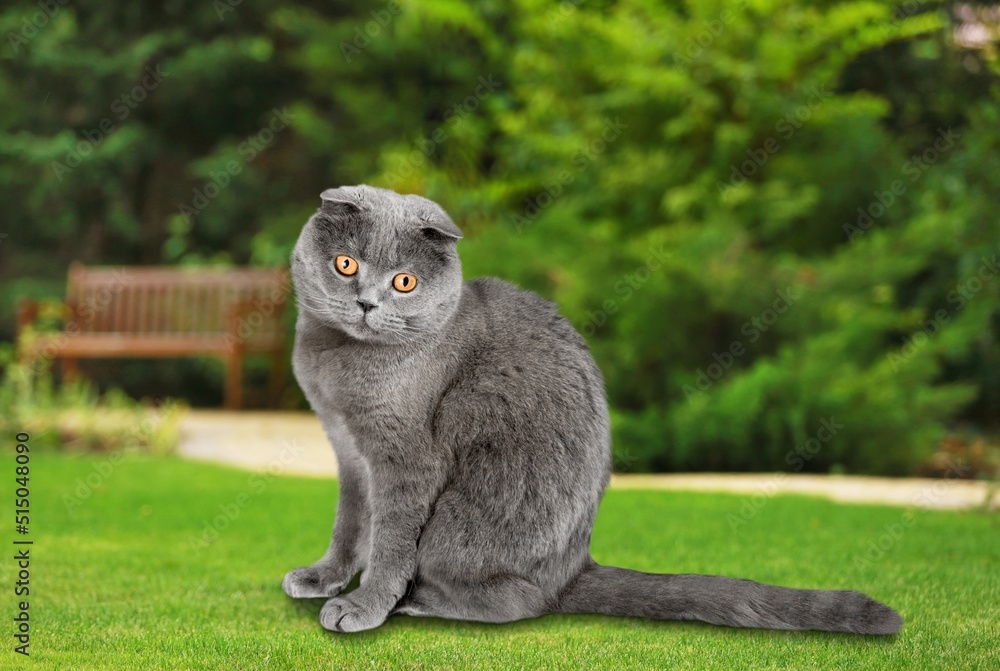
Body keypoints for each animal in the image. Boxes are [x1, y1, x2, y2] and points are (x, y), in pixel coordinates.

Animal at [284, 184, 908, 636]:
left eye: (405, 282)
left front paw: (364, 606)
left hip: (462, 522)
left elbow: (389, 538)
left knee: (516, 600)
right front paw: (324, 578)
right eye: (346, 264)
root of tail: (574, 568)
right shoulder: (348, 450)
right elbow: (350, 523)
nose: (367, 303)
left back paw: (425, 600)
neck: (336, 361)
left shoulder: (407, 459)